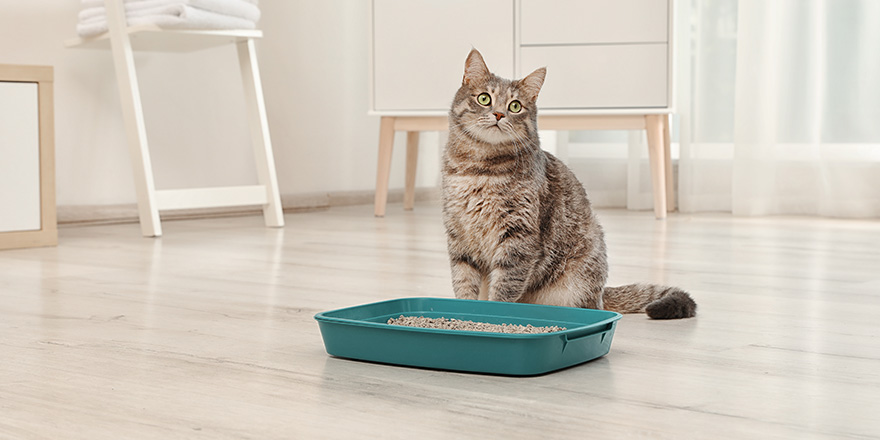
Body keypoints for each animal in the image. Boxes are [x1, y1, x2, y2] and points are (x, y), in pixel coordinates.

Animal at [444, 49, 696, 320]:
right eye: (484, 98)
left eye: (515, 106)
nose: (499, 114)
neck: (479, 169)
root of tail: (601, 293)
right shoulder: (459, 237)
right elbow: (463, 283)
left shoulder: (519, 238)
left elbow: (504, 288)